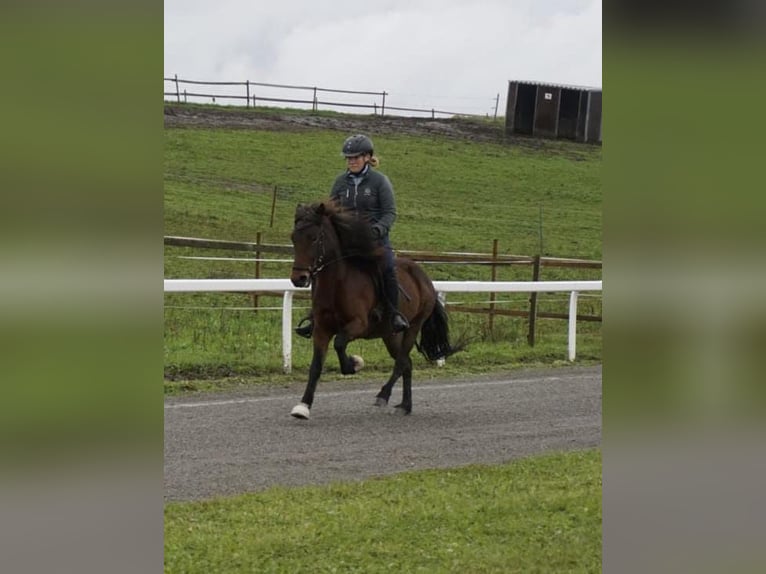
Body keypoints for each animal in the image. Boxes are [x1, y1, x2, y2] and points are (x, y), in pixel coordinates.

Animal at [292, 200, 464, 420]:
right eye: (293, 238)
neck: (338, 284)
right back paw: (405, 405)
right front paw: (303, 406)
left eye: (314, 238)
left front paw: (354, 364)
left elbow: (339, 343)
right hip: (390, 335)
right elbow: (315, 367)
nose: (299, 278)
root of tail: (424, 277)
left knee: (401, 362)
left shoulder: (358, 324)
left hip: (413, 327)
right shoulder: (321, 329)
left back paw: (384, 395)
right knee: (407, 363)